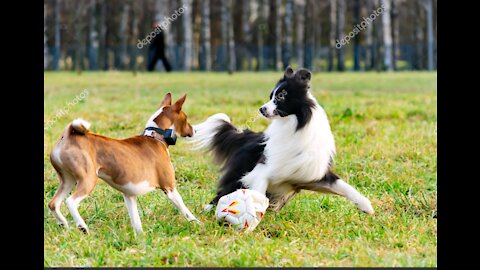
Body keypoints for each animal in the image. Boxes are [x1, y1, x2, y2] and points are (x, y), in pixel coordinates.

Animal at [48, 93, 199, 234]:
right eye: (186, 118)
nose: (195, 130)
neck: (156, 137)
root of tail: (68, 136)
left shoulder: (129, 196)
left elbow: (136, 220)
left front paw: (140, 237)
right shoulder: (169, 187)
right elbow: (185, 209)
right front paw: (197, 223)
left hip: (68, 181)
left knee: (53, 204)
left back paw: (63, 224)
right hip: (88, 180)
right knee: (71, 202)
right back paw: (82, 226)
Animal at [193, 67, 374, 215]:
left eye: (281, 96)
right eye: (271, 96)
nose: (261, 109)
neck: (293, 126)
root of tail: (249, 135)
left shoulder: (311, 175)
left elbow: (344, 186)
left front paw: (367, 207)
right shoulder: (262, 171)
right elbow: (258, 193)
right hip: (239, 173)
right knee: (222, 192)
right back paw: (206, 210)